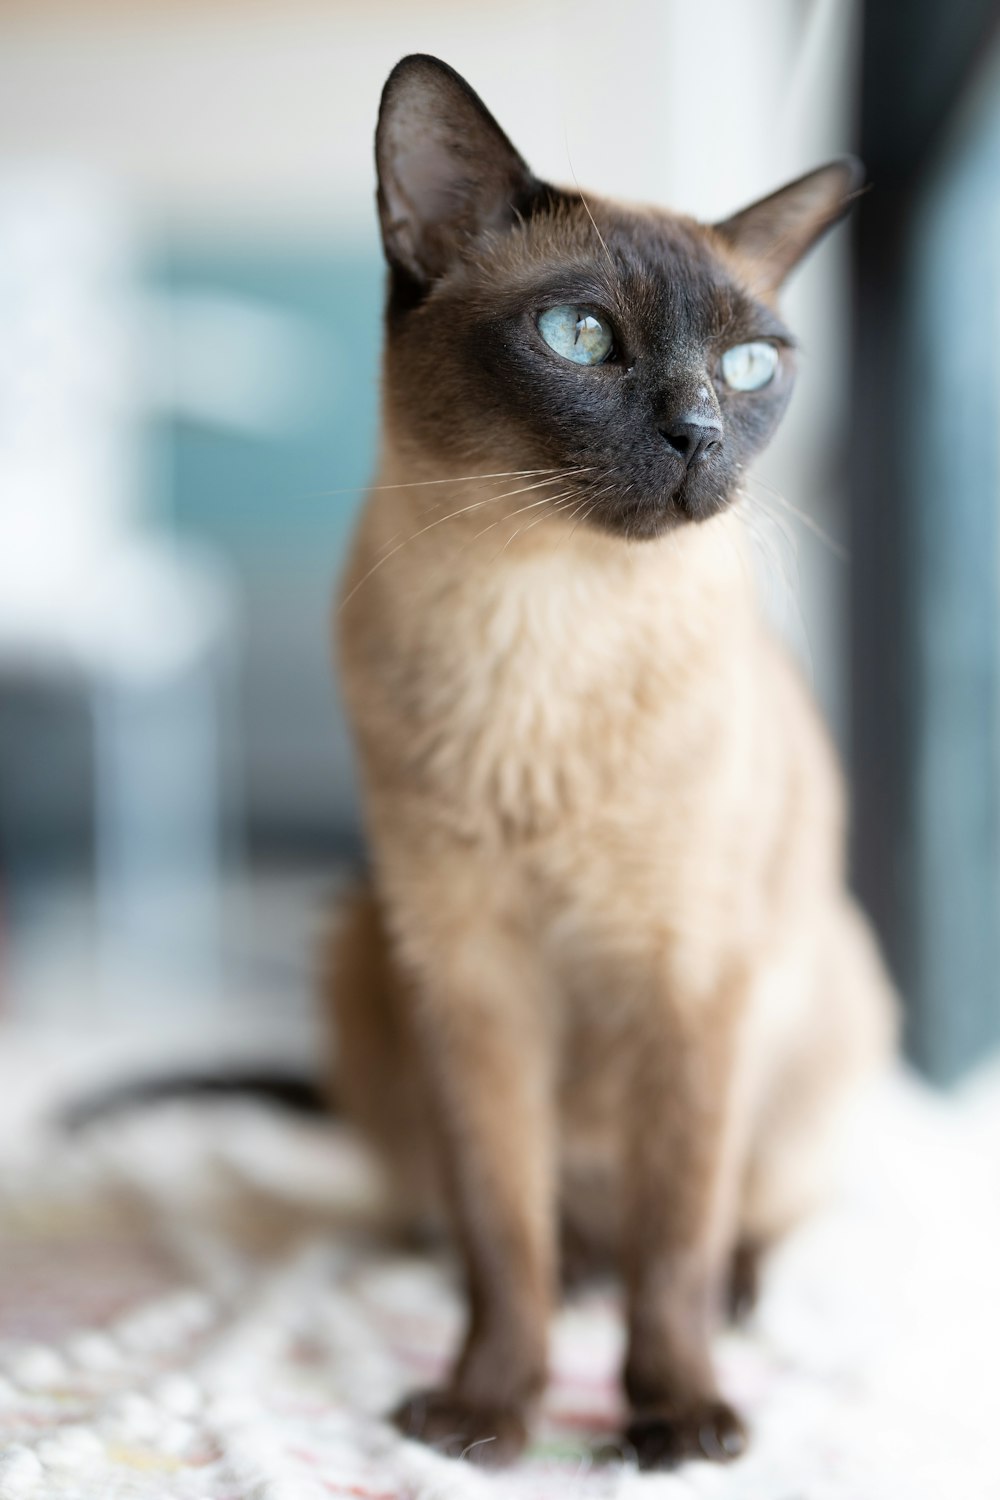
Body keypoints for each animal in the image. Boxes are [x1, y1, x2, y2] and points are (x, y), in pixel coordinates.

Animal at [329, 52, 899, 1470]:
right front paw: (484, 1414)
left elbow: (677, 1238)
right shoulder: (469, 985)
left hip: (829, 986)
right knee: (537, 1230)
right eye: (580, 337)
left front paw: (677, 1418)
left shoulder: (689, 983)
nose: (700, 431)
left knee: (730, 1224)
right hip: (363, 954)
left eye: (749, 364)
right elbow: (502, 1237)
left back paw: (726, 1306)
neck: (542, 622)